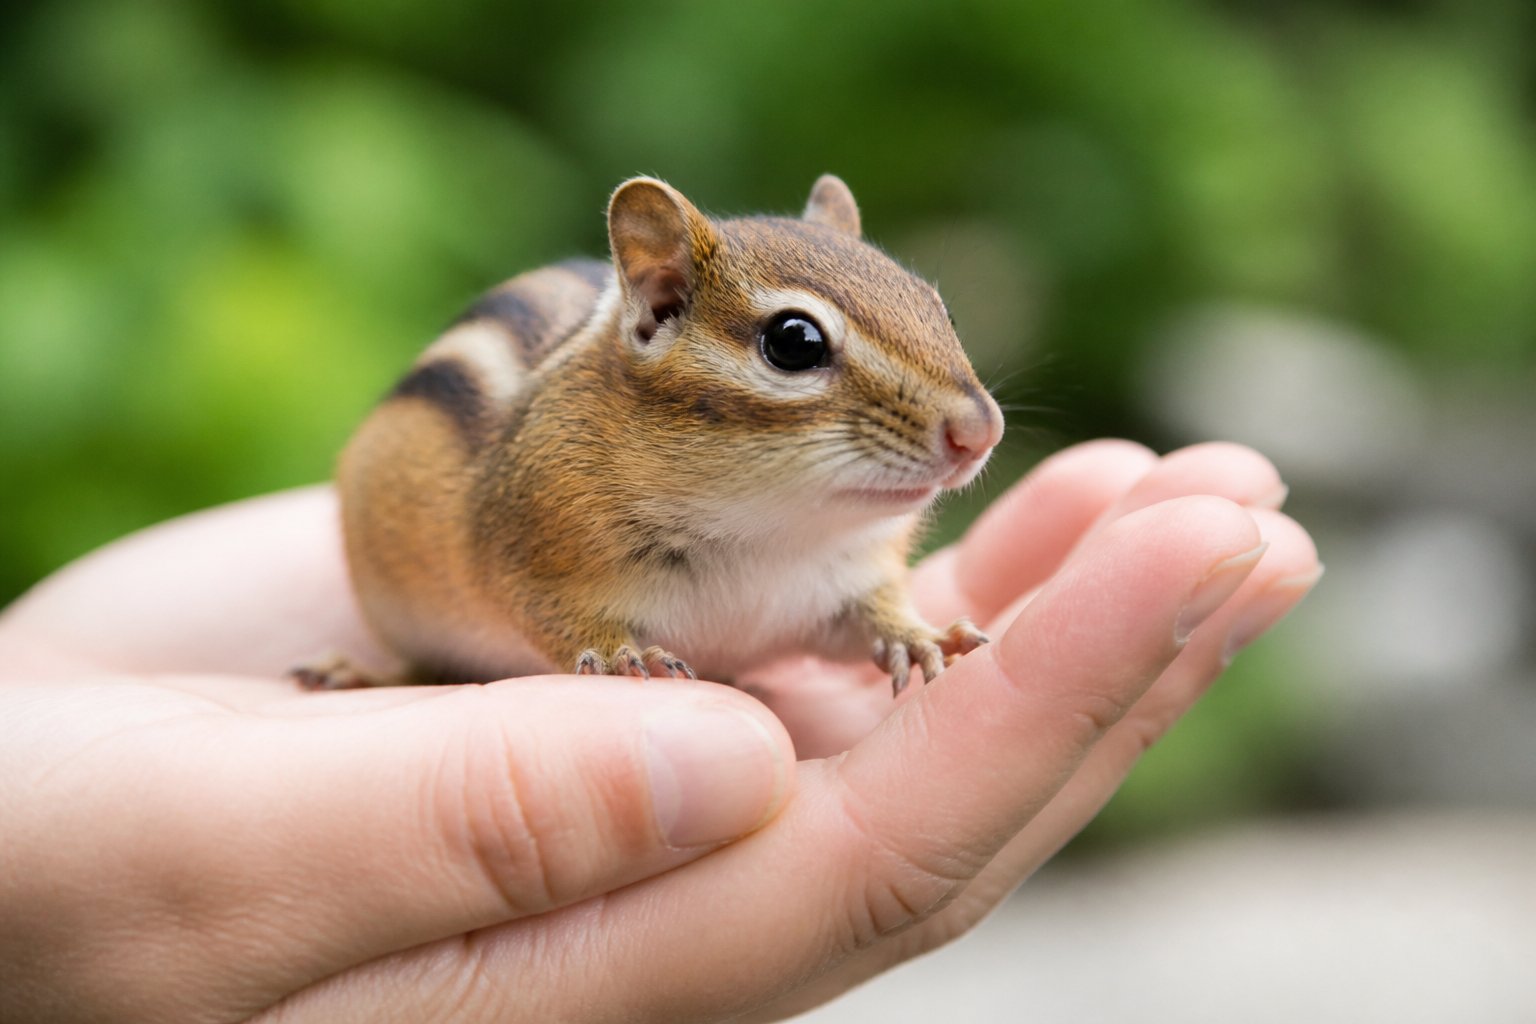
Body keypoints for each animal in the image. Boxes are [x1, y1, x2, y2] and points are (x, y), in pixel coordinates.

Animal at [302, 175, 1004, 696]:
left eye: (938, 308)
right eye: (794, 341)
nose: (981, 431)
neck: (769, 532)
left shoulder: (840, 588)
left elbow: (866, 618)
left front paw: (921, 636)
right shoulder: (527, 559)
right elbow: (551, 617)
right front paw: (618, 656)